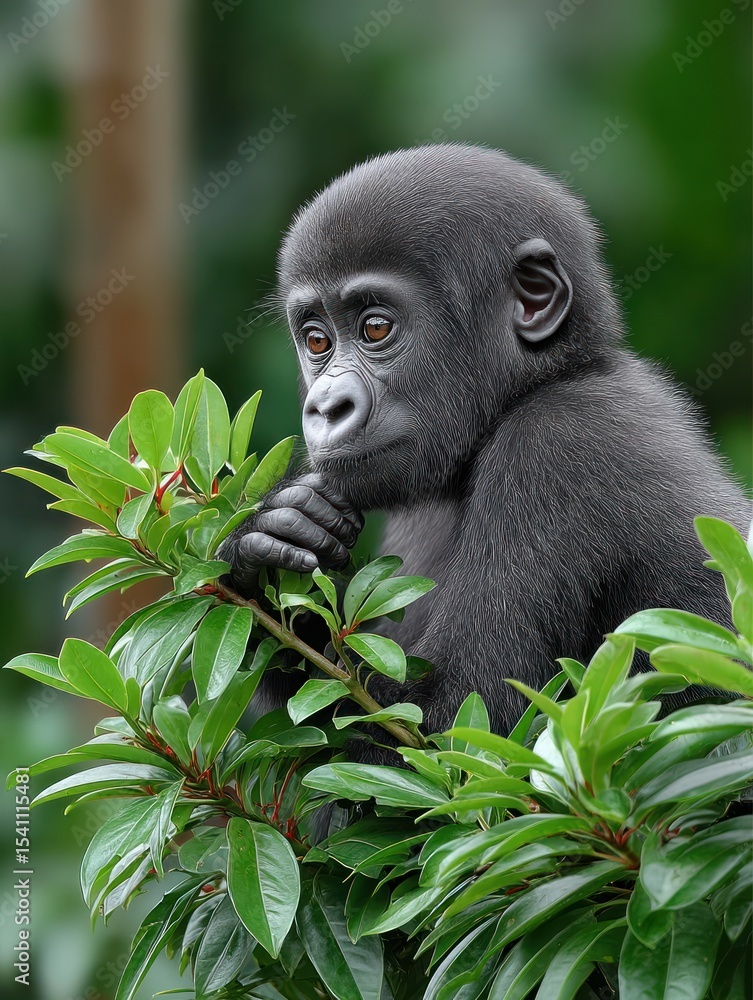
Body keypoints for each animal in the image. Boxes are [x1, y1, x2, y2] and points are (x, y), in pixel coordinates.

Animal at [220, 143, 750, 740]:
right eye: (316, 340)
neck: (546, 380)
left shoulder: (556, 447)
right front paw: (264, 541)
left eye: (376, 328)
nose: (326, 407)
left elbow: (447, 724)